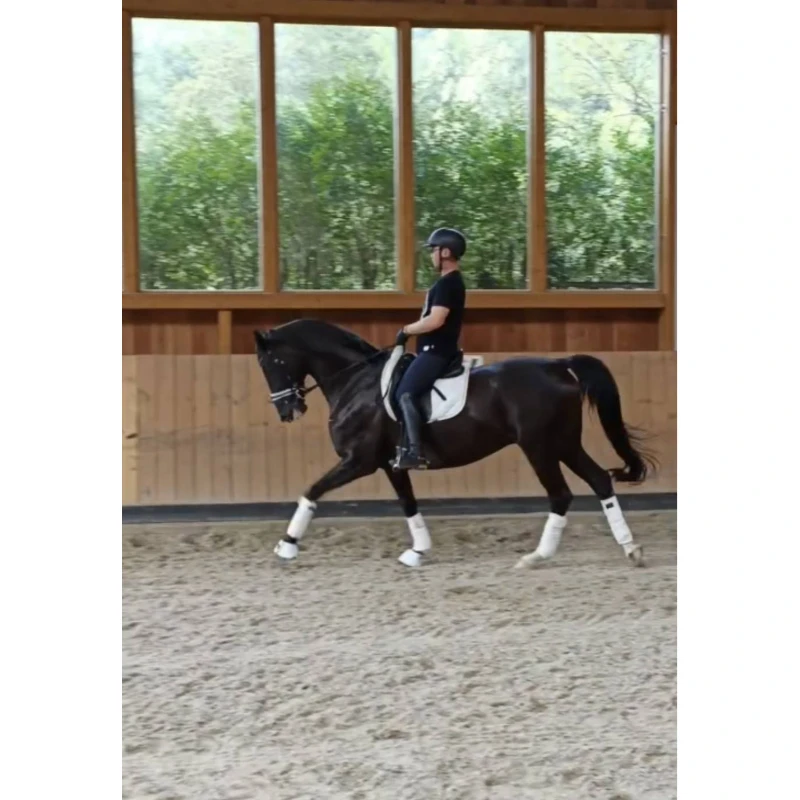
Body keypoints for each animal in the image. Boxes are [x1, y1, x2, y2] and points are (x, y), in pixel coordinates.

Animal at [254, 318, 655, 568]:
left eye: (270, 362)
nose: (288, 410)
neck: (357, 382)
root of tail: (558, 366)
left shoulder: (359, 460)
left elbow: (312, 490)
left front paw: (286, 545)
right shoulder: (389, 463)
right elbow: (408, 504)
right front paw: (418, 551)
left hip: (539, 446)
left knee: (561, 494)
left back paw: (536, 557)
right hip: (564, 442)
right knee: (599, 480)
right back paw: (630, 548)